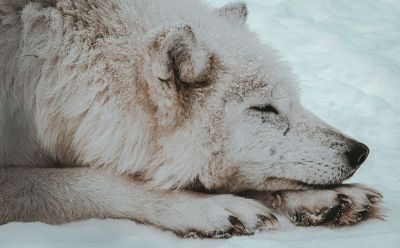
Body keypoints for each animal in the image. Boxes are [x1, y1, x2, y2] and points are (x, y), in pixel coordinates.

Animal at [0, 0, 382, 238]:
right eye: (265, 109)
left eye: (295, 100)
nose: (360, 151)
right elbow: (88, 181)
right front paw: (204, 208)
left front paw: (329, 198)